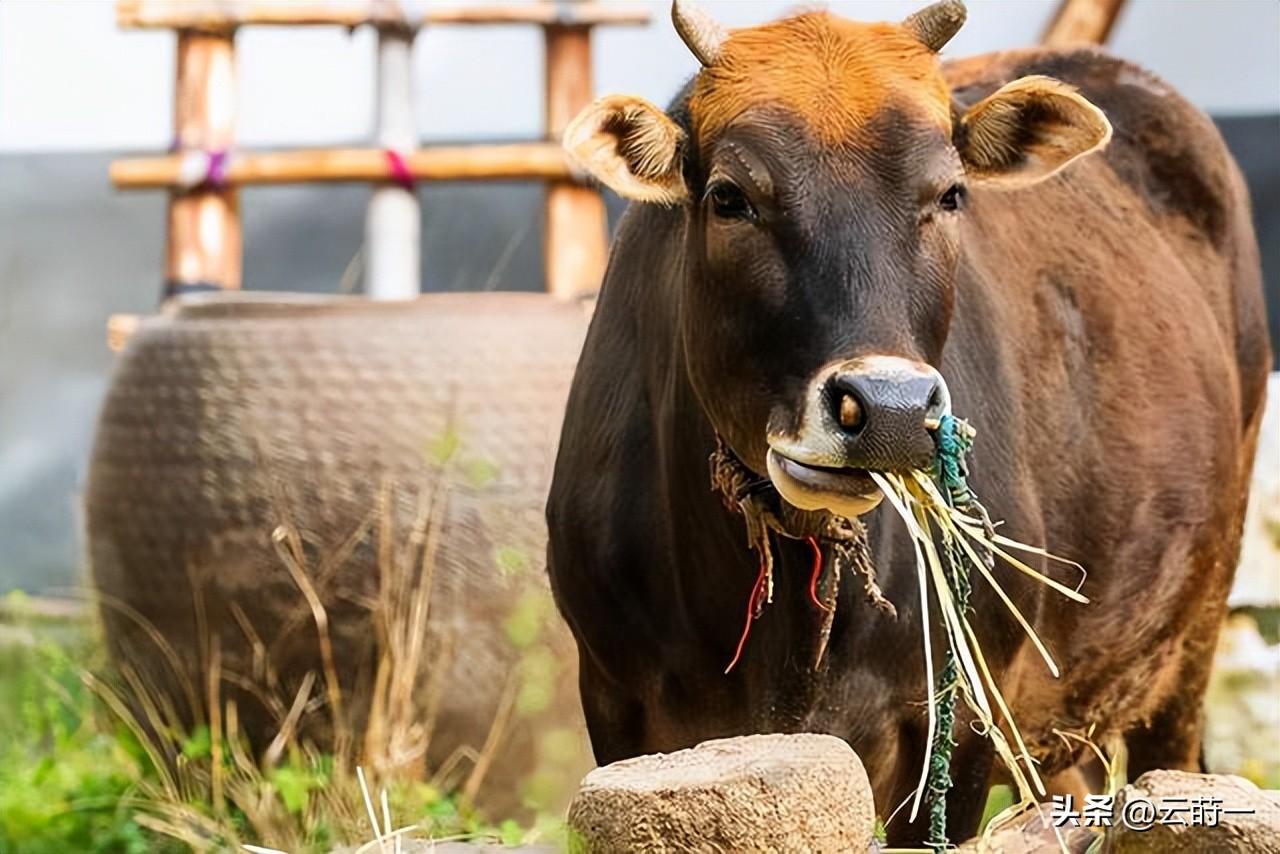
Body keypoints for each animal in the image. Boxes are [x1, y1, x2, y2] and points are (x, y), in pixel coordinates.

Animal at [542, 0, 1269, 839]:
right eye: (729, 196)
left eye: (950, 194)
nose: (887, 410)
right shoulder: (618, 707)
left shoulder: (965, 718)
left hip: (1192, 636)